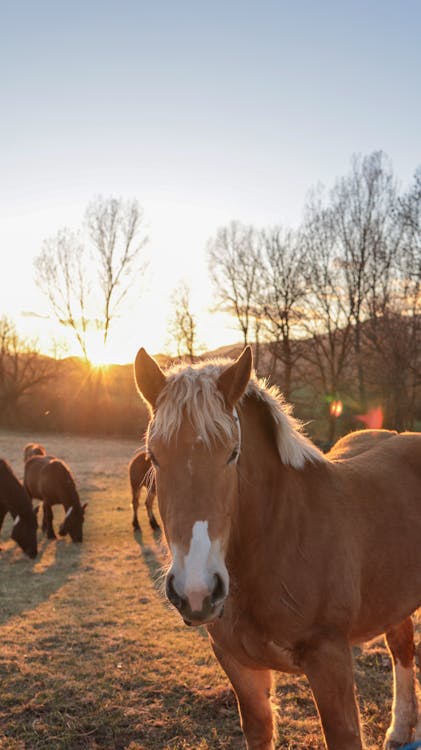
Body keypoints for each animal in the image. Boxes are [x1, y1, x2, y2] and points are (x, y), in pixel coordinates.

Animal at [133, 346, 420, 750]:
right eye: (154, 455)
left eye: (233, 453)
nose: (196, 591)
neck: (280, 539)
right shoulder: (237, 663)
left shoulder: (330, 659)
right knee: (402, 645)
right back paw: (401, 729)